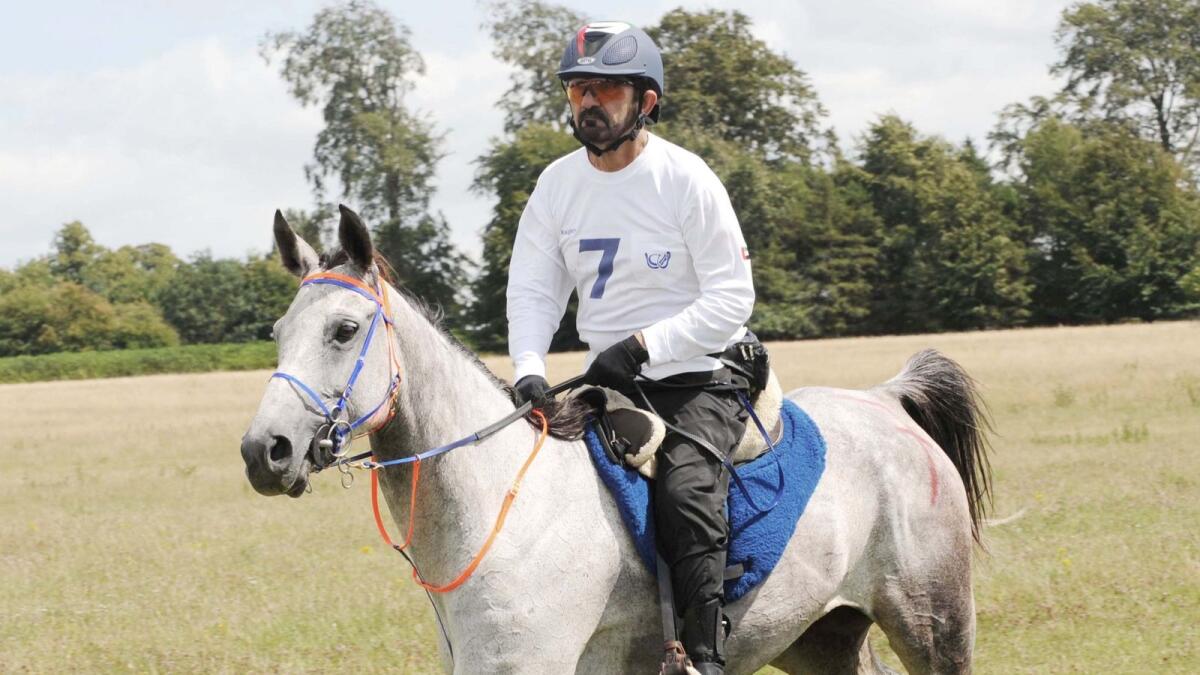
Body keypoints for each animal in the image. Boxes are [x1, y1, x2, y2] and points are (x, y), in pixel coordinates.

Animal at [238, 206, 988, 672]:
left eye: (343, 330)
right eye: (278, 331)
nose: (263, 451)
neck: (501, 510)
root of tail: (887, 400)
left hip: (934, 627)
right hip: (819, 637)